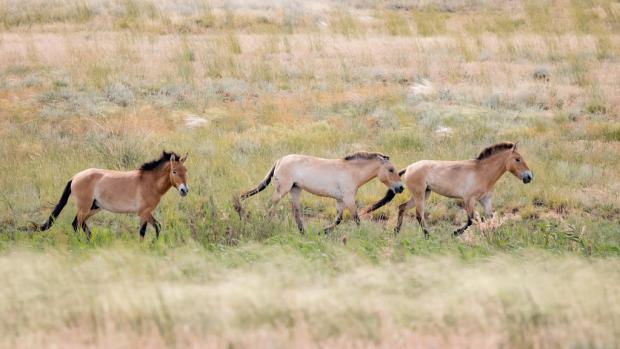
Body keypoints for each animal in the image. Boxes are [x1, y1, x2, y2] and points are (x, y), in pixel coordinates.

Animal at [37, 151, 188, 238]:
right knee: (76, 224)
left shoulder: (146, 212)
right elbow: (144, 231)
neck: (149, 182)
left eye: (185, 170)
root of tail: (75, 177)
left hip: (93, 208)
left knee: (80, 224)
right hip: (84, 208)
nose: (184, 190)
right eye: (174, 171)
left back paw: (90, 240)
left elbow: (156, 227)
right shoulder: (143, 212)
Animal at [236, 151, 402, 232]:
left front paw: (323, 231)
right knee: (270, 207)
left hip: (295, 190)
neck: (352, 171)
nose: (400, 188)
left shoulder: (340, 200)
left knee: (295, 213)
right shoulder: (349, 198)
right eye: (391, 169)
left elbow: (338, 220)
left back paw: (303, 233)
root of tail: (280, 160)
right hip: (282, 190)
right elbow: (356, 219)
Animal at [364, 142, 532, 237]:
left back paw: (396, 232)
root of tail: (409, 168)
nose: (529, 177)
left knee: (402, 207)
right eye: (517, 159)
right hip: (420, 195)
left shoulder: (485, 200)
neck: (481, 172)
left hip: (424, 194)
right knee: (419, 215)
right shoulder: (469, 199)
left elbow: (490, 217)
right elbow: (471, 220)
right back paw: (428, 235)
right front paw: (455, 233)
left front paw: (494, 233)